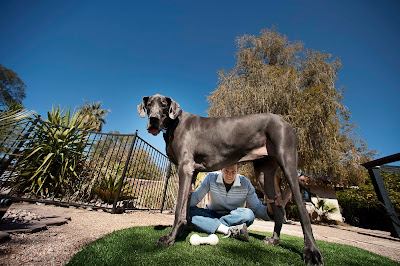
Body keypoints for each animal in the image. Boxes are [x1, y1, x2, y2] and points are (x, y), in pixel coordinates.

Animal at [138, 93, 324, 264]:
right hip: (263, 174)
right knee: (278, 209)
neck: (174, 124)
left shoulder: (185, 168)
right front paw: (182, 232)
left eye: (163, 104)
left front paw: (170, 238)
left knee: (302, 209)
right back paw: (274, 240)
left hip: (287, 161)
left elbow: (178, 210)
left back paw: (312, 252)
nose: (153, 119)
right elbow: (186, 208)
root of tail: (285, 122)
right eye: (149, 104)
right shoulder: (193, 172)